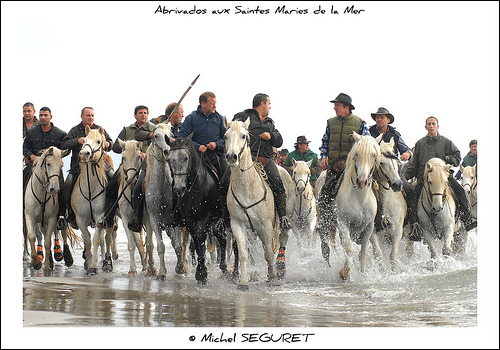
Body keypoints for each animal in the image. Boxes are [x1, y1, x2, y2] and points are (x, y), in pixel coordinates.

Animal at [170, 134, 229, 284]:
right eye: (169, 159)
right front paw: (200, 272)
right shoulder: (189, 220)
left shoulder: (205, 218)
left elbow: (201, 239)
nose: (179, 188)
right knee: (221, 238)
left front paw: (202, 273)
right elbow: (196, 243)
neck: (195, 187)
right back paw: (223, 267)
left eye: (185, 158)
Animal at [226, 119, 282, 290]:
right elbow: (243, 254)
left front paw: (274, 279)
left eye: (243, 136)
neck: (247, 188)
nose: (231, 157)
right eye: (225, 136)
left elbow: (269, 253)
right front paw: (243, 281)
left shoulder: (266, 226)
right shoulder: (237, 225)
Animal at [334, 133, 380, 280]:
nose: (362, 181)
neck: (360, 199)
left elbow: (363, 254)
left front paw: (362, 273)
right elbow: (348, 248)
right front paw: (344, 273)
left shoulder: (369, 227)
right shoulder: (343, 224)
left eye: (374, 155)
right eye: (357, 154)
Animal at [372, 137, 406, 270]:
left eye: (397, 163)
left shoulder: (397, 230)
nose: (397, 184)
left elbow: (393, 256)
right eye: (381, 162)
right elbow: (378, 255)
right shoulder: (373, 233)